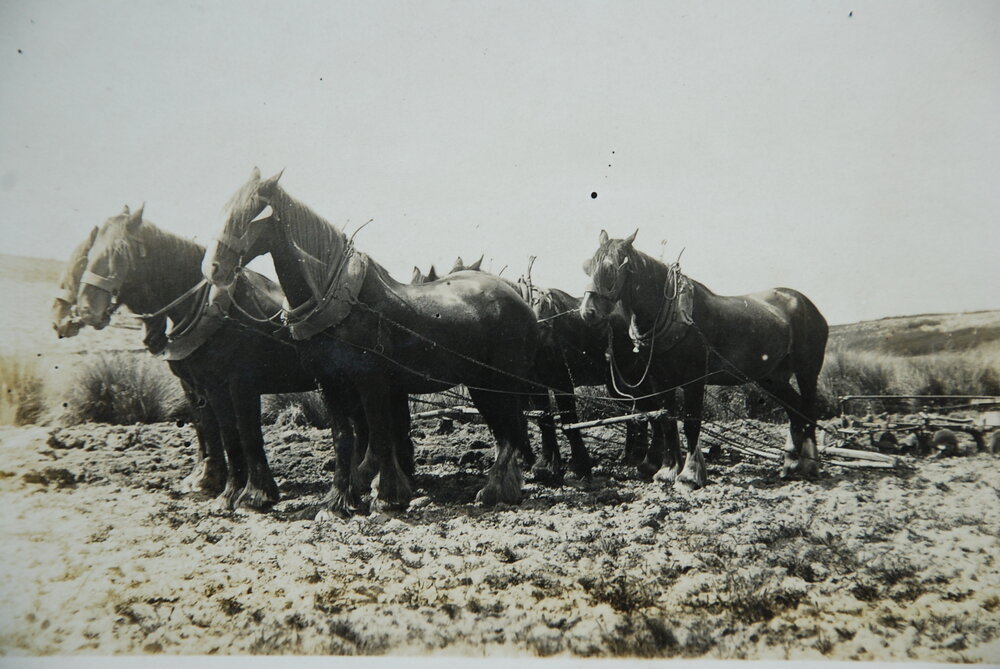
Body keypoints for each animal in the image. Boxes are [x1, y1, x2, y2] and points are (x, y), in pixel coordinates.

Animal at [74, 205, 340, 511]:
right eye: (89, 253)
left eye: (119, 251)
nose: (86, 309)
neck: (212, 312)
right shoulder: (194, 384)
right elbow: (207, 430)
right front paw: (207, 480)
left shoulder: (235, 384)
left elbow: (241, 434)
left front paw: (249, 493)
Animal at [203, 168, 539, 516]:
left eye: (251, 213)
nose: (213, 268)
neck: (343, 305)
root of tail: (519, 299)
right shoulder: (330, 383)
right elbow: (343, 438)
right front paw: (338, 500)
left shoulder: (371, 380)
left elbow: (379, 435)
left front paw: (388, 497)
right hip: (481, 383)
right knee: (506, 430)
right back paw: (505, 488)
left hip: (499, 382)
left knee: (510, 431)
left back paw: (493, 490)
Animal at [580, 229, 829, 487]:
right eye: (587, 268)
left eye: (610, 268)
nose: (588, 312)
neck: (674, 314)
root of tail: (805, 303)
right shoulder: (660, 381)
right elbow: (668, 422)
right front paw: (668, 470)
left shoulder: (694, 379)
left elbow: (691, 424)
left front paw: (689, 475)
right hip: (772, 378)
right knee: (795, 410)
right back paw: (791, 464)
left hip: (807, 371)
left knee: (808, 410)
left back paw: (810, 465)